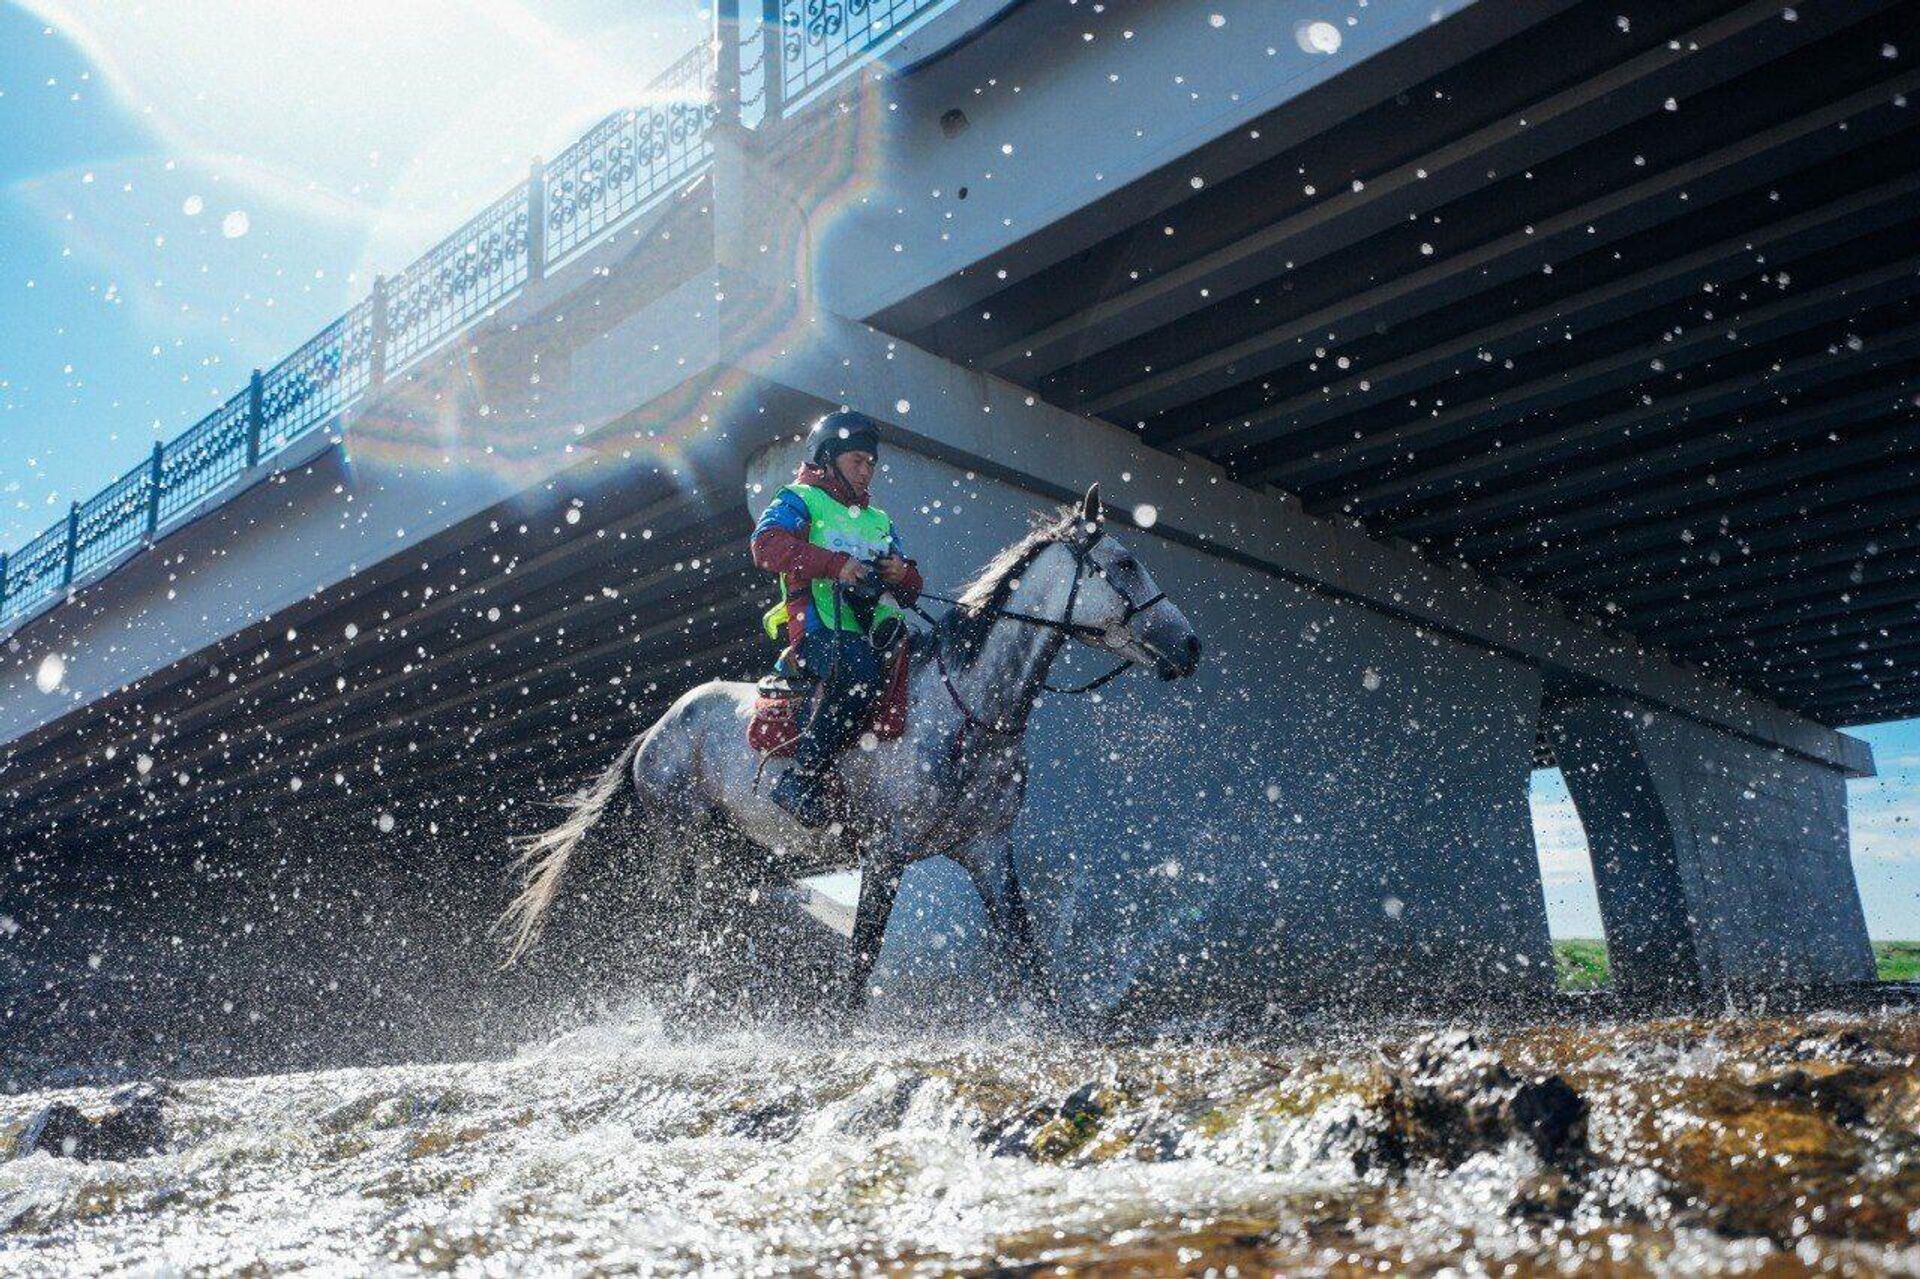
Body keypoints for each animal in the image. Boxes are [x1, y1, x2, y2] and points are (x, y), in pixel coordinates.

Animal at [506, 483, 1198, 1013]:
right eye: (1127, 563)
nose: (1190, 646)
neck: (971, 709)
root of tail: (660, 727)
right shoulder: (887, 854)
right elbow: (864, 957)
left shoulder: (988, 851)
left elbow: (1024, 953)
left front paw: (1059, 1028)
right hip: (685, 843)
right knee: (673, 932)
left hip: (740, 863)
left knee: (708, 937)